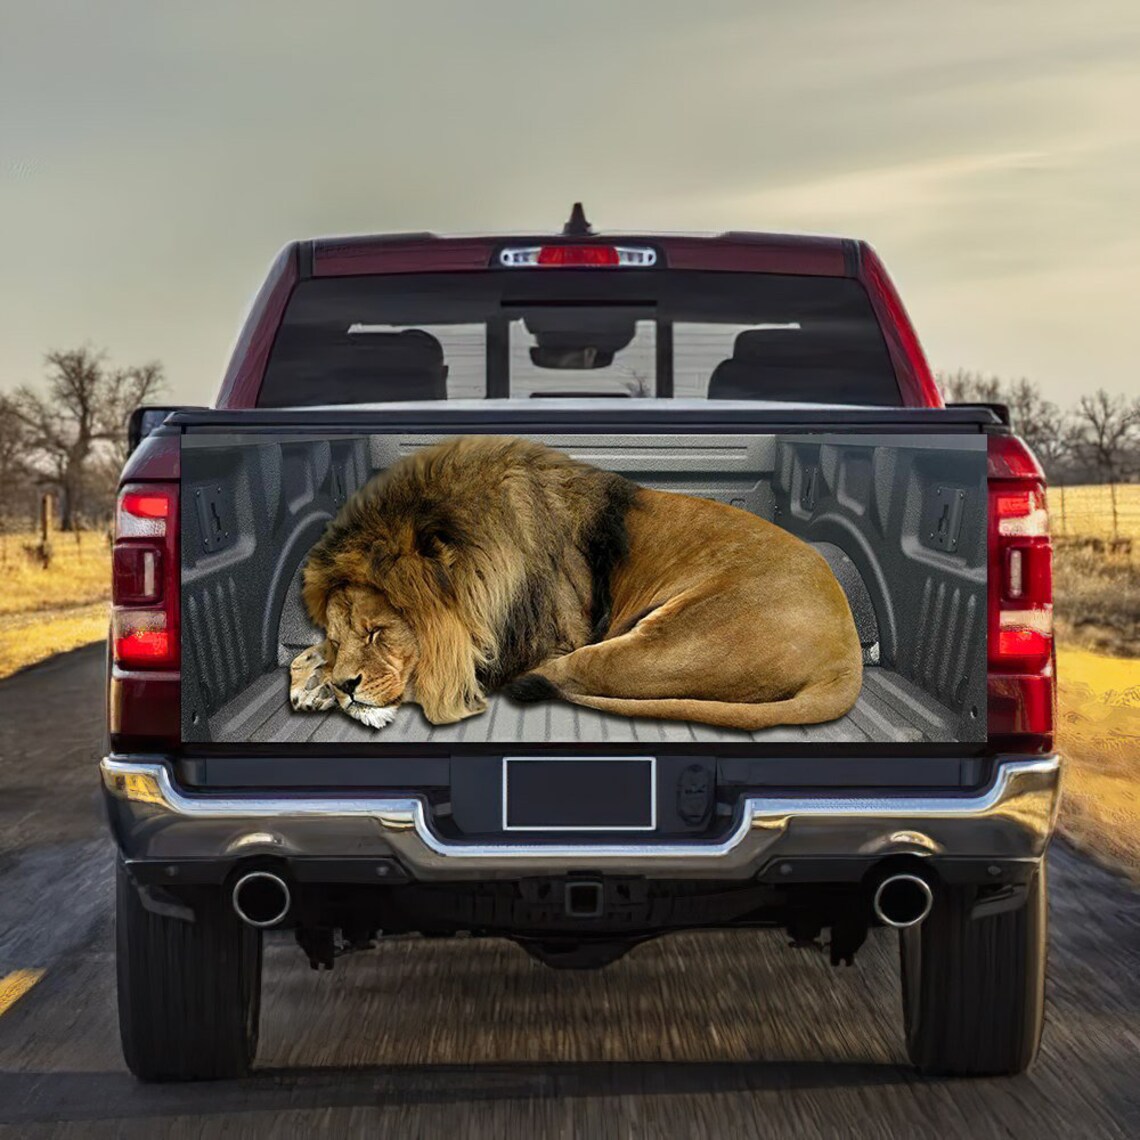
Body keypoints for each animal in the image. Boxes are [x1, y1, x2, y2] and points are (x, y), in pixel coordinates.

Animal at [290, 435, 863, 732]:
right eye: (338, 636)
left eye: (378, 632)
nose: (345, 687)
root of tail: (848, 653)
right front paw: (314, 680)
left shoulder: (541, 637)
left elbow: (441, 672)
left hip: (666, 641)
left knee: (574, 674)